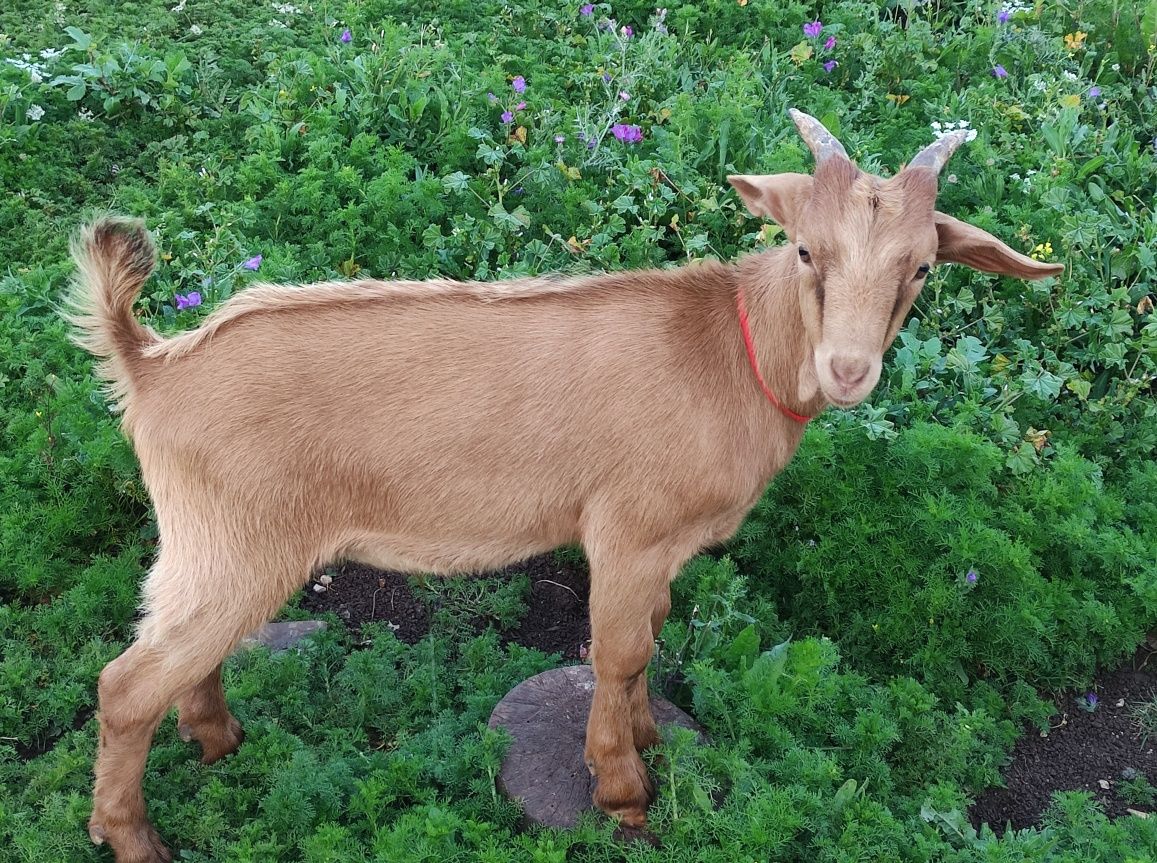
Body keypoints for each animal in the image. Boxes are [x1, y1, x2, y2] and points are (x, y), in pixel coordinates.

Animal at [67, 111, 1059, 856]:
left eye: (920, 266)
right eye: (806, 250)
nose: (848, 369)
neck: (731, 351)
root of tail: (150, 365)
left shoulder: (663, 547)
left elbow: (650, 639)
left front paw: (649, 735)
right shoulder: (626, 529)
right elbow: (614, 652)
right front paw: (623, 789)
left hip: (211, 548)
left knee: (184, 655)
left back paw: (217, 740)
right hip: (235, 537)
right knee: (125, 683)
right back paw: (135, 837)